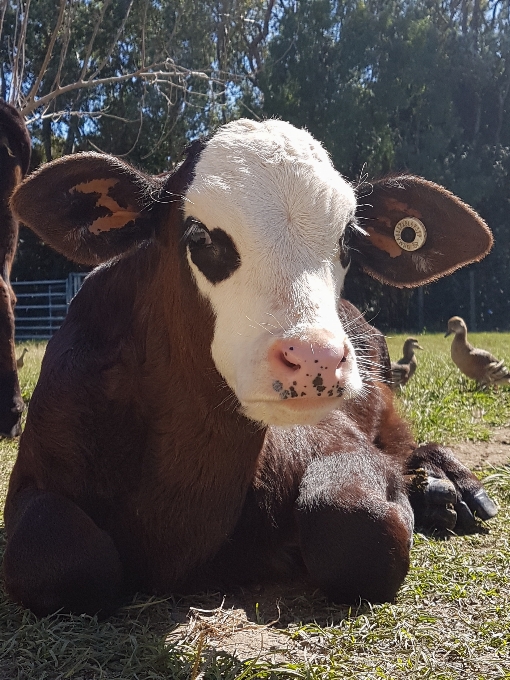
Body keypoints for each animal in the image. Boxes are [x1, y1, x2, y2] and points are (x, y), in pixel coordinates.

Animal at [2, 121, 498, 616]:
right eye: (199, 237)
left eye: (346, 241)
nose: (316, 357)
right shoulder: (35, 478)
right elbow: (61, 557)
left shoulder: (340, 440)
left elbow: (358, 526)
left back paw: (449, 487)